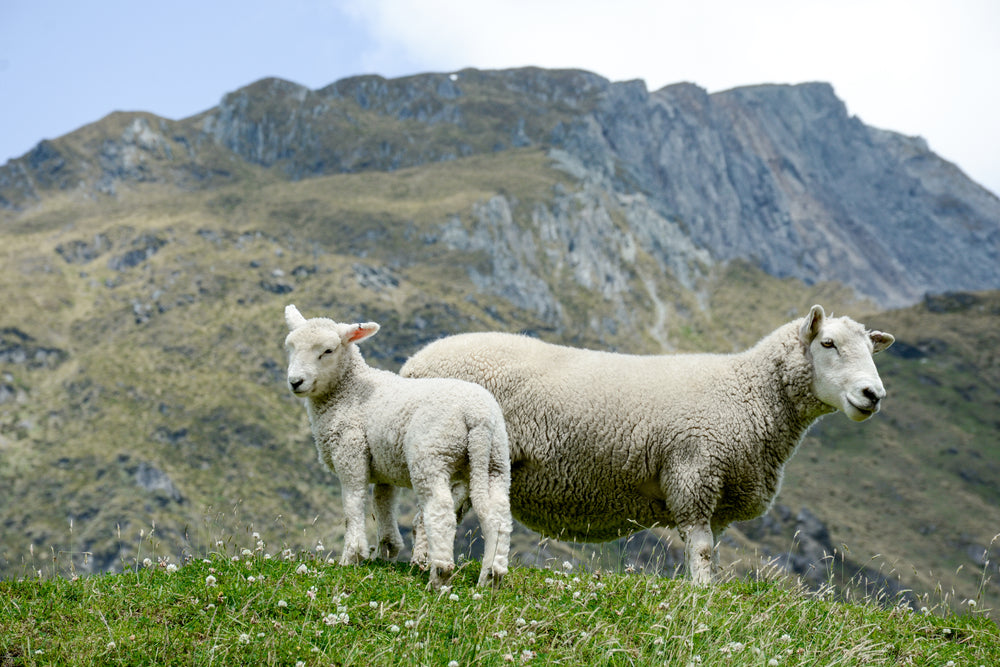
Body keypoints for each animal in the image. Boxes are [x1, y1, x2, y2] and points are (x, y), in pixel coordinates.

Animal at [284, 306, 512, 588]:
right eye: (291, 347)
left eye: (328, 350)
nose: (295, 381)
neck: (347, 390)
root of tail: (477, 416)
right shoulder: (384, 466)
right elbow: (383, 503)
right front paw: (387, 550)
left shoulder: (350, 450)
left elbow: (353, 502)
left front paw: (352, 556)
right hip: (495, 460)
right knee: (499, 515)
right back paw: (491, 577)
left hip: (431, 453)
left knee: (441, 511)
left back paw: (440, 575)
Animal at [402, 306, 896, 580]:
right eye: (828, 343)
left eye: (872, 352)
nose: (873, 394)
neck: (749, 392)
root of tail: (413, 364)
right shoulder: (693, 473)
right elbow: (700, 549)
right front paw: (700, 598)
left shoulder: (718, 497)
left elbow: (710, 553)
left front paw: (705, 591)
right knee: (436, 512)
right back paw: (426, 565)